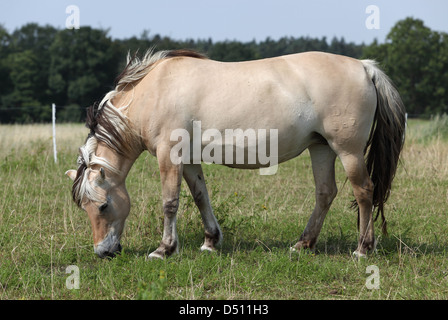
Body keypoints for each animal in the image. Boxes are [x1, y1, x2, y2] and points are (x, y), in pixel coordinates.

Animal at [66, 50, 406, 260]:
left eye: (103, 205)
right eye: (85, 207)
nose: (103, 252)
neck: (153, 92)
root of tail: (364, 67)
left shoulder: (170, 156)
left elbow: (170, 202)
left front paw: (164, 249)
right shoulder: (189, 160)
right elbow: (201, 196)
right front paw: (210, 242)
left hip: (348, 150)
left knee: (364, 192)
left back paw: (363, 249)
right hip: (321, 148)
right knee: (325, 193)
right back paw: (303, 244)